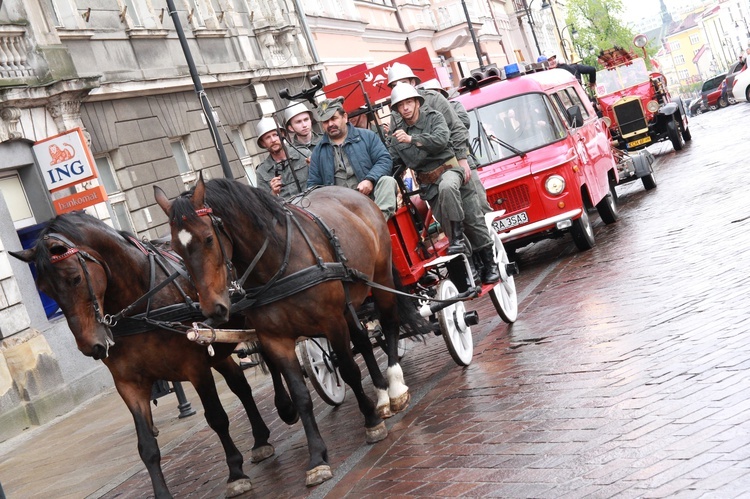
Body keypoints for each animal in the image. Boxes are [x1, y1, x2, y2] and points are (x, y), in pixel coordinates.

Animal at [9, 212, 296, 499]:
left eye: (75, 279)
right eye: (44, 289)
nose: (90, 346)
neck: (141, 303)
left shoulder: (196, 368)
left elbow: (217, 417)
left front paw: (236, 473)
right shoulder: (129, 383)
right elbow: (146, 445)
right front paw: (161, 491)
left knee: (271, 361)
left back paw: (285, 407)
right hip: (217, 344)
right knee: (240, 384)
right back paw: (260, 439)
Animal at [153, 178, 418, 486]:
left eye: (208, 238)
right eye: (175, 247)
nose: (213, 309)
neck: (276, 263)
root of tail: (352, 192)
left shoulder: (332, 322)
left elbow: (350, 371)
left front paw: (372, 423)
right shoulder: (276, 339)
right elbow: (301, 395)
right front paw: (317, 459)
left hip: (381, 277)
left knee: (389, 325)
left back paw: (395, 388)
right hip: (350, 303)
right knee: (363, 341)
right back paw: (382, 394)